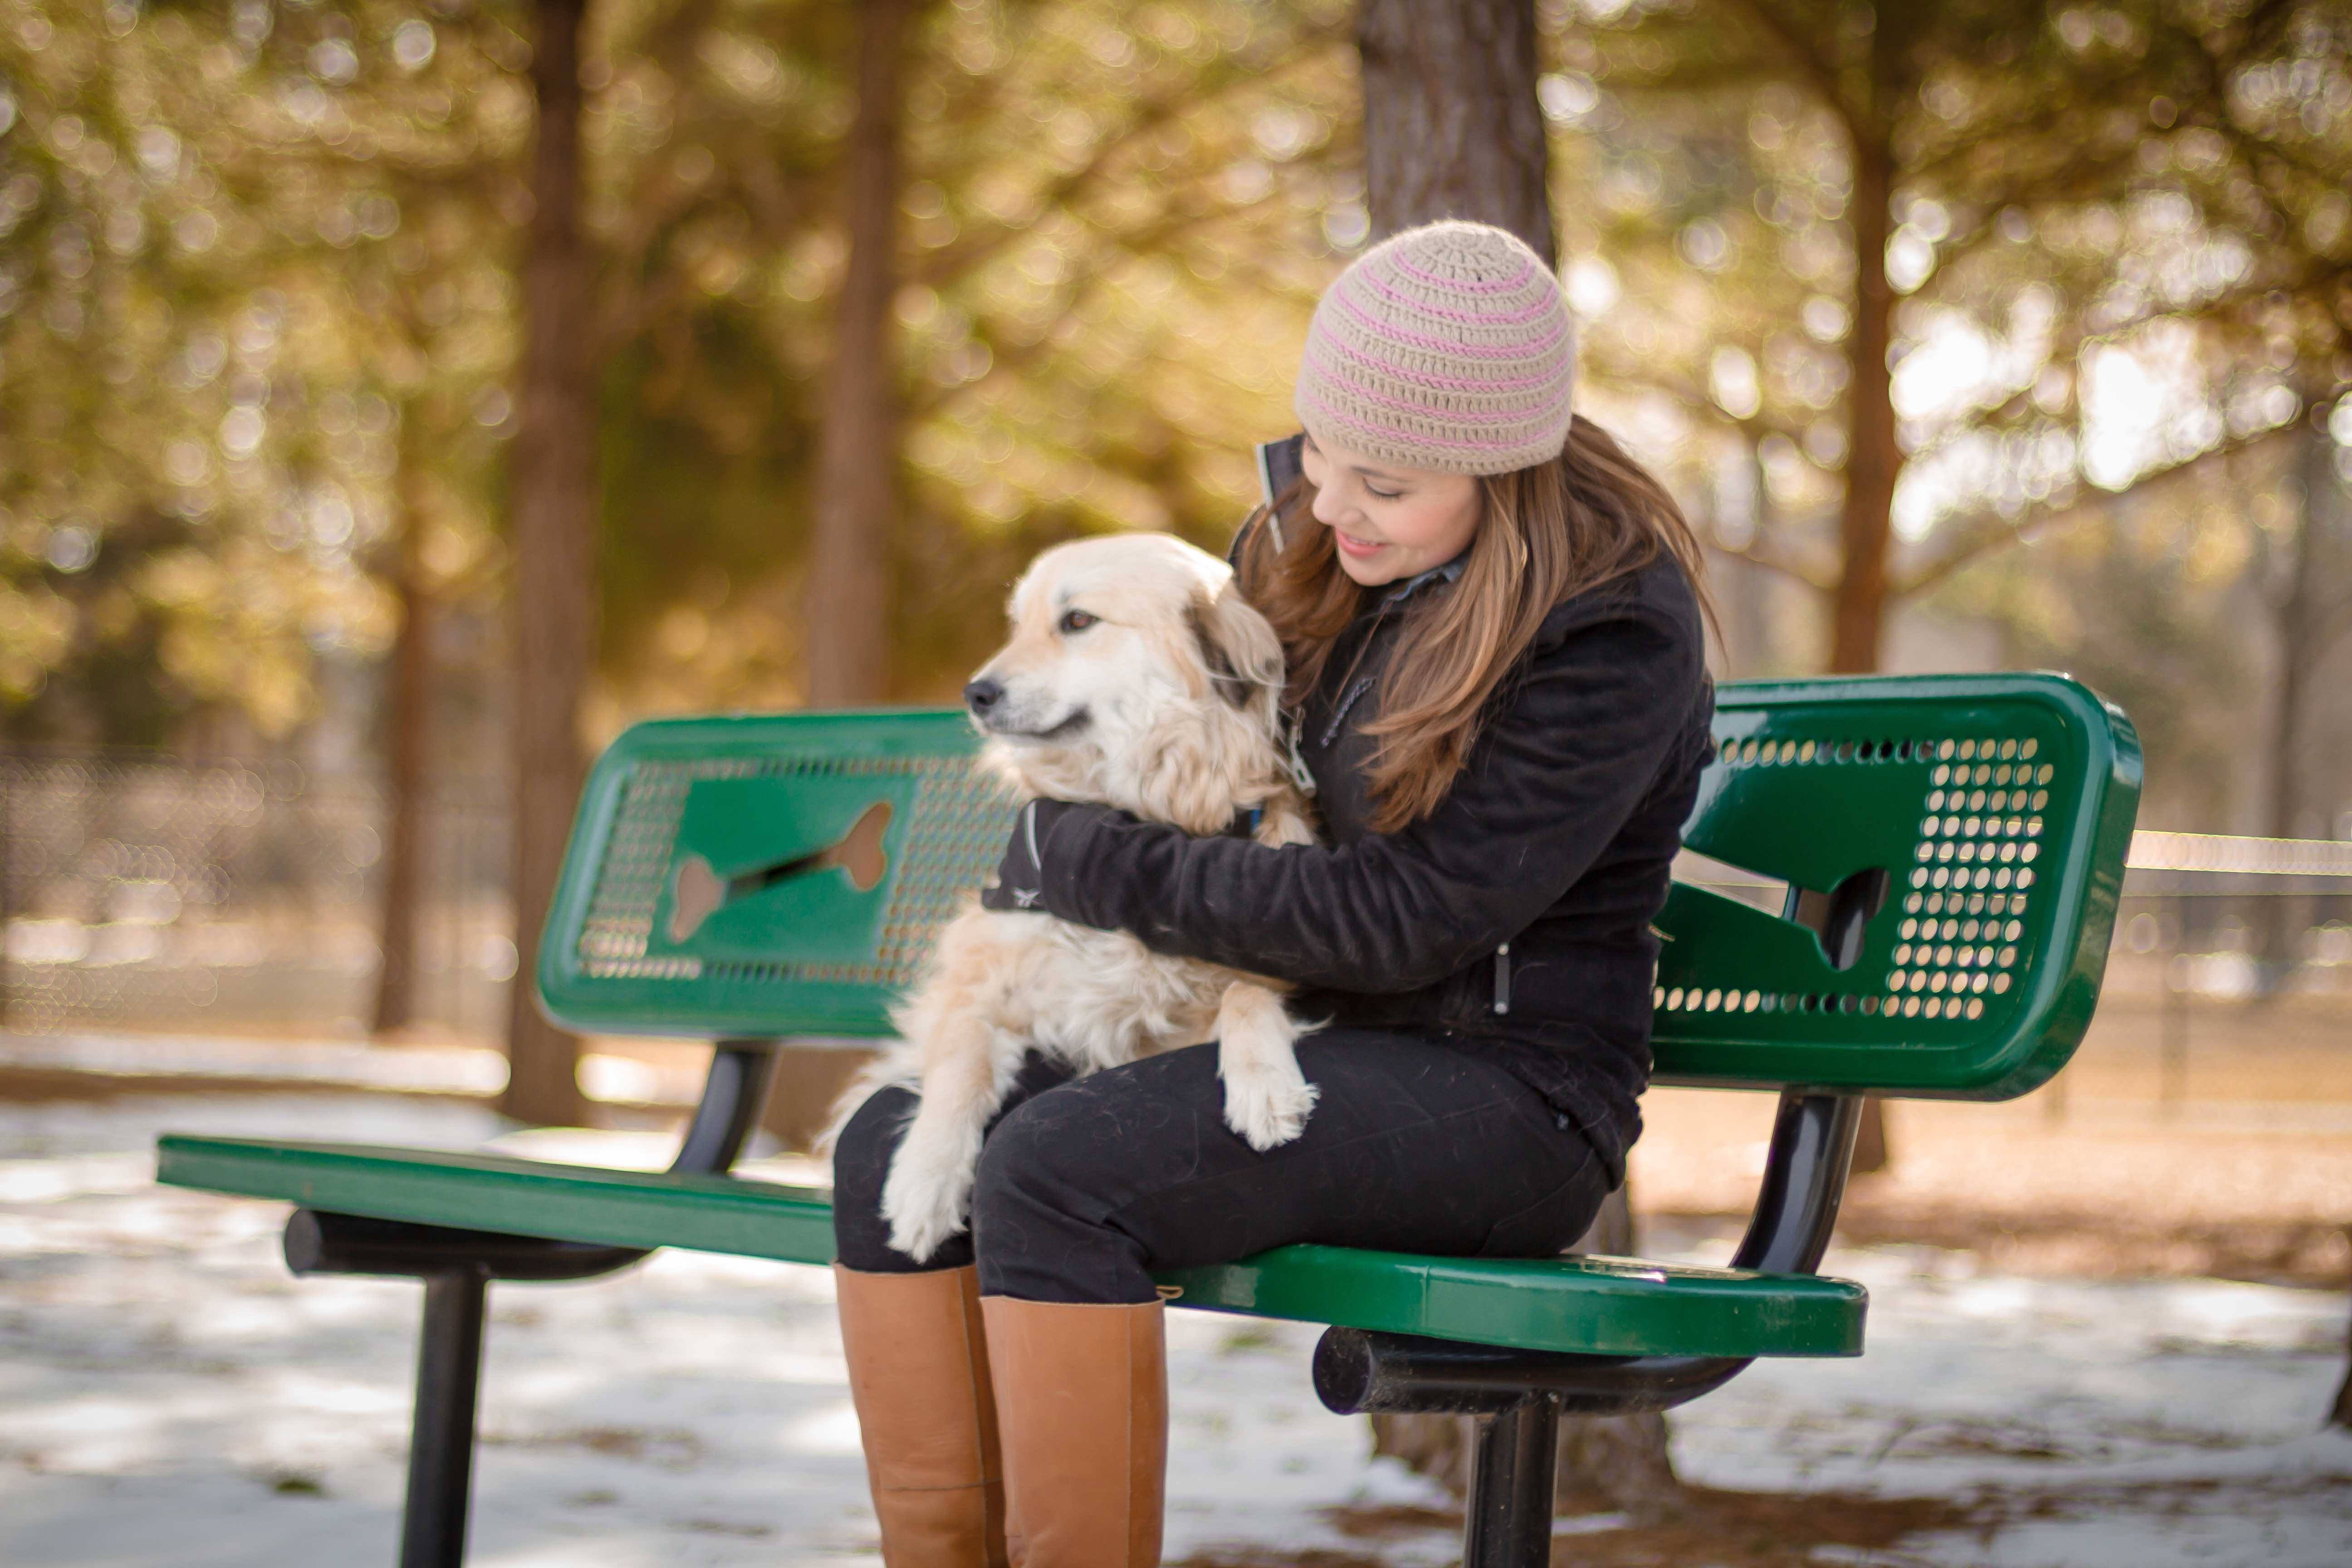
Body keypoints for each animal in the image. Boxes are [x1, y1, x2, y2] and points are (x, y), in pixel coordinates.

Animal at [847, 534, 1326, 1269]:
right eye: (1017, 625)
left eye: (1077, 622)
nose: (975, 693)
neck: (1141, 810)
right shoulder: (977, 970)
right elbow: (959, 1059)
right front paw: (923, 1180)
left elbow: (1248, 994)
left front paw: (1265, 1083)